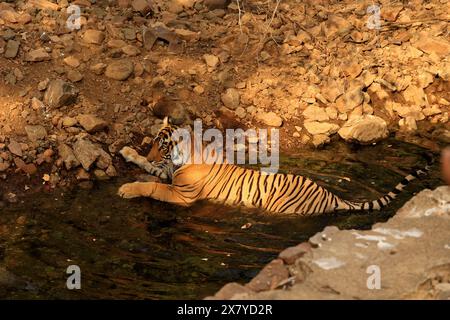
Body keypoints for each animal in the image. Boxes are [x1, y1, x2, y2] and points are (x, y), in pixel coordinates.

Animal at [118, 116, 434, 216]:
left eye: (163, 145)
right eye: (152, 143)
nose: (153, 152)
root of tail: (332, 196)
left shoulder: (182, 195)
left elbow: (152, 186)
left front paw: (126, 189)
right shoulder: (169, 172)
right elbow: (152, 170)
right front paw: (128, 152)